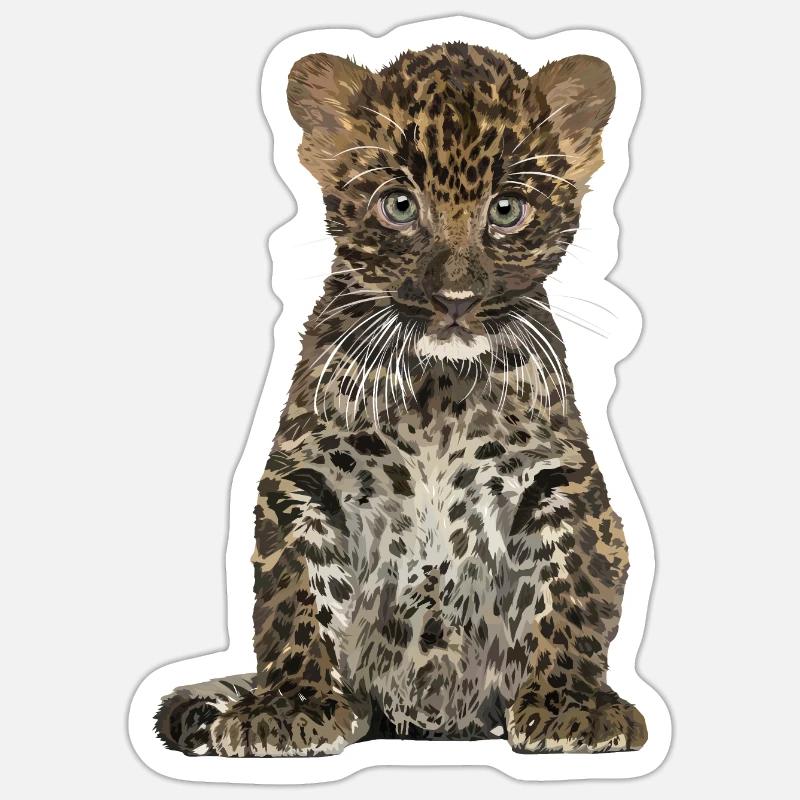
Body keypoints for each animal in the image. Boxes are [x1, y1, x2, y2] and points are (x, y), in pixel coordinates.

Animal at [155, 42, 647, 757]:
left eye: (507, 210)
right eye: (399, 205)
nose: (455, 299)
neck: (438, 391)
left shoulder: (560, 479)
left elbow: (572, 588)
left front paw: (571, 706)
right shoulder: (304, 478)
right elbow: (295, 593)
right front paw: (290, 707)